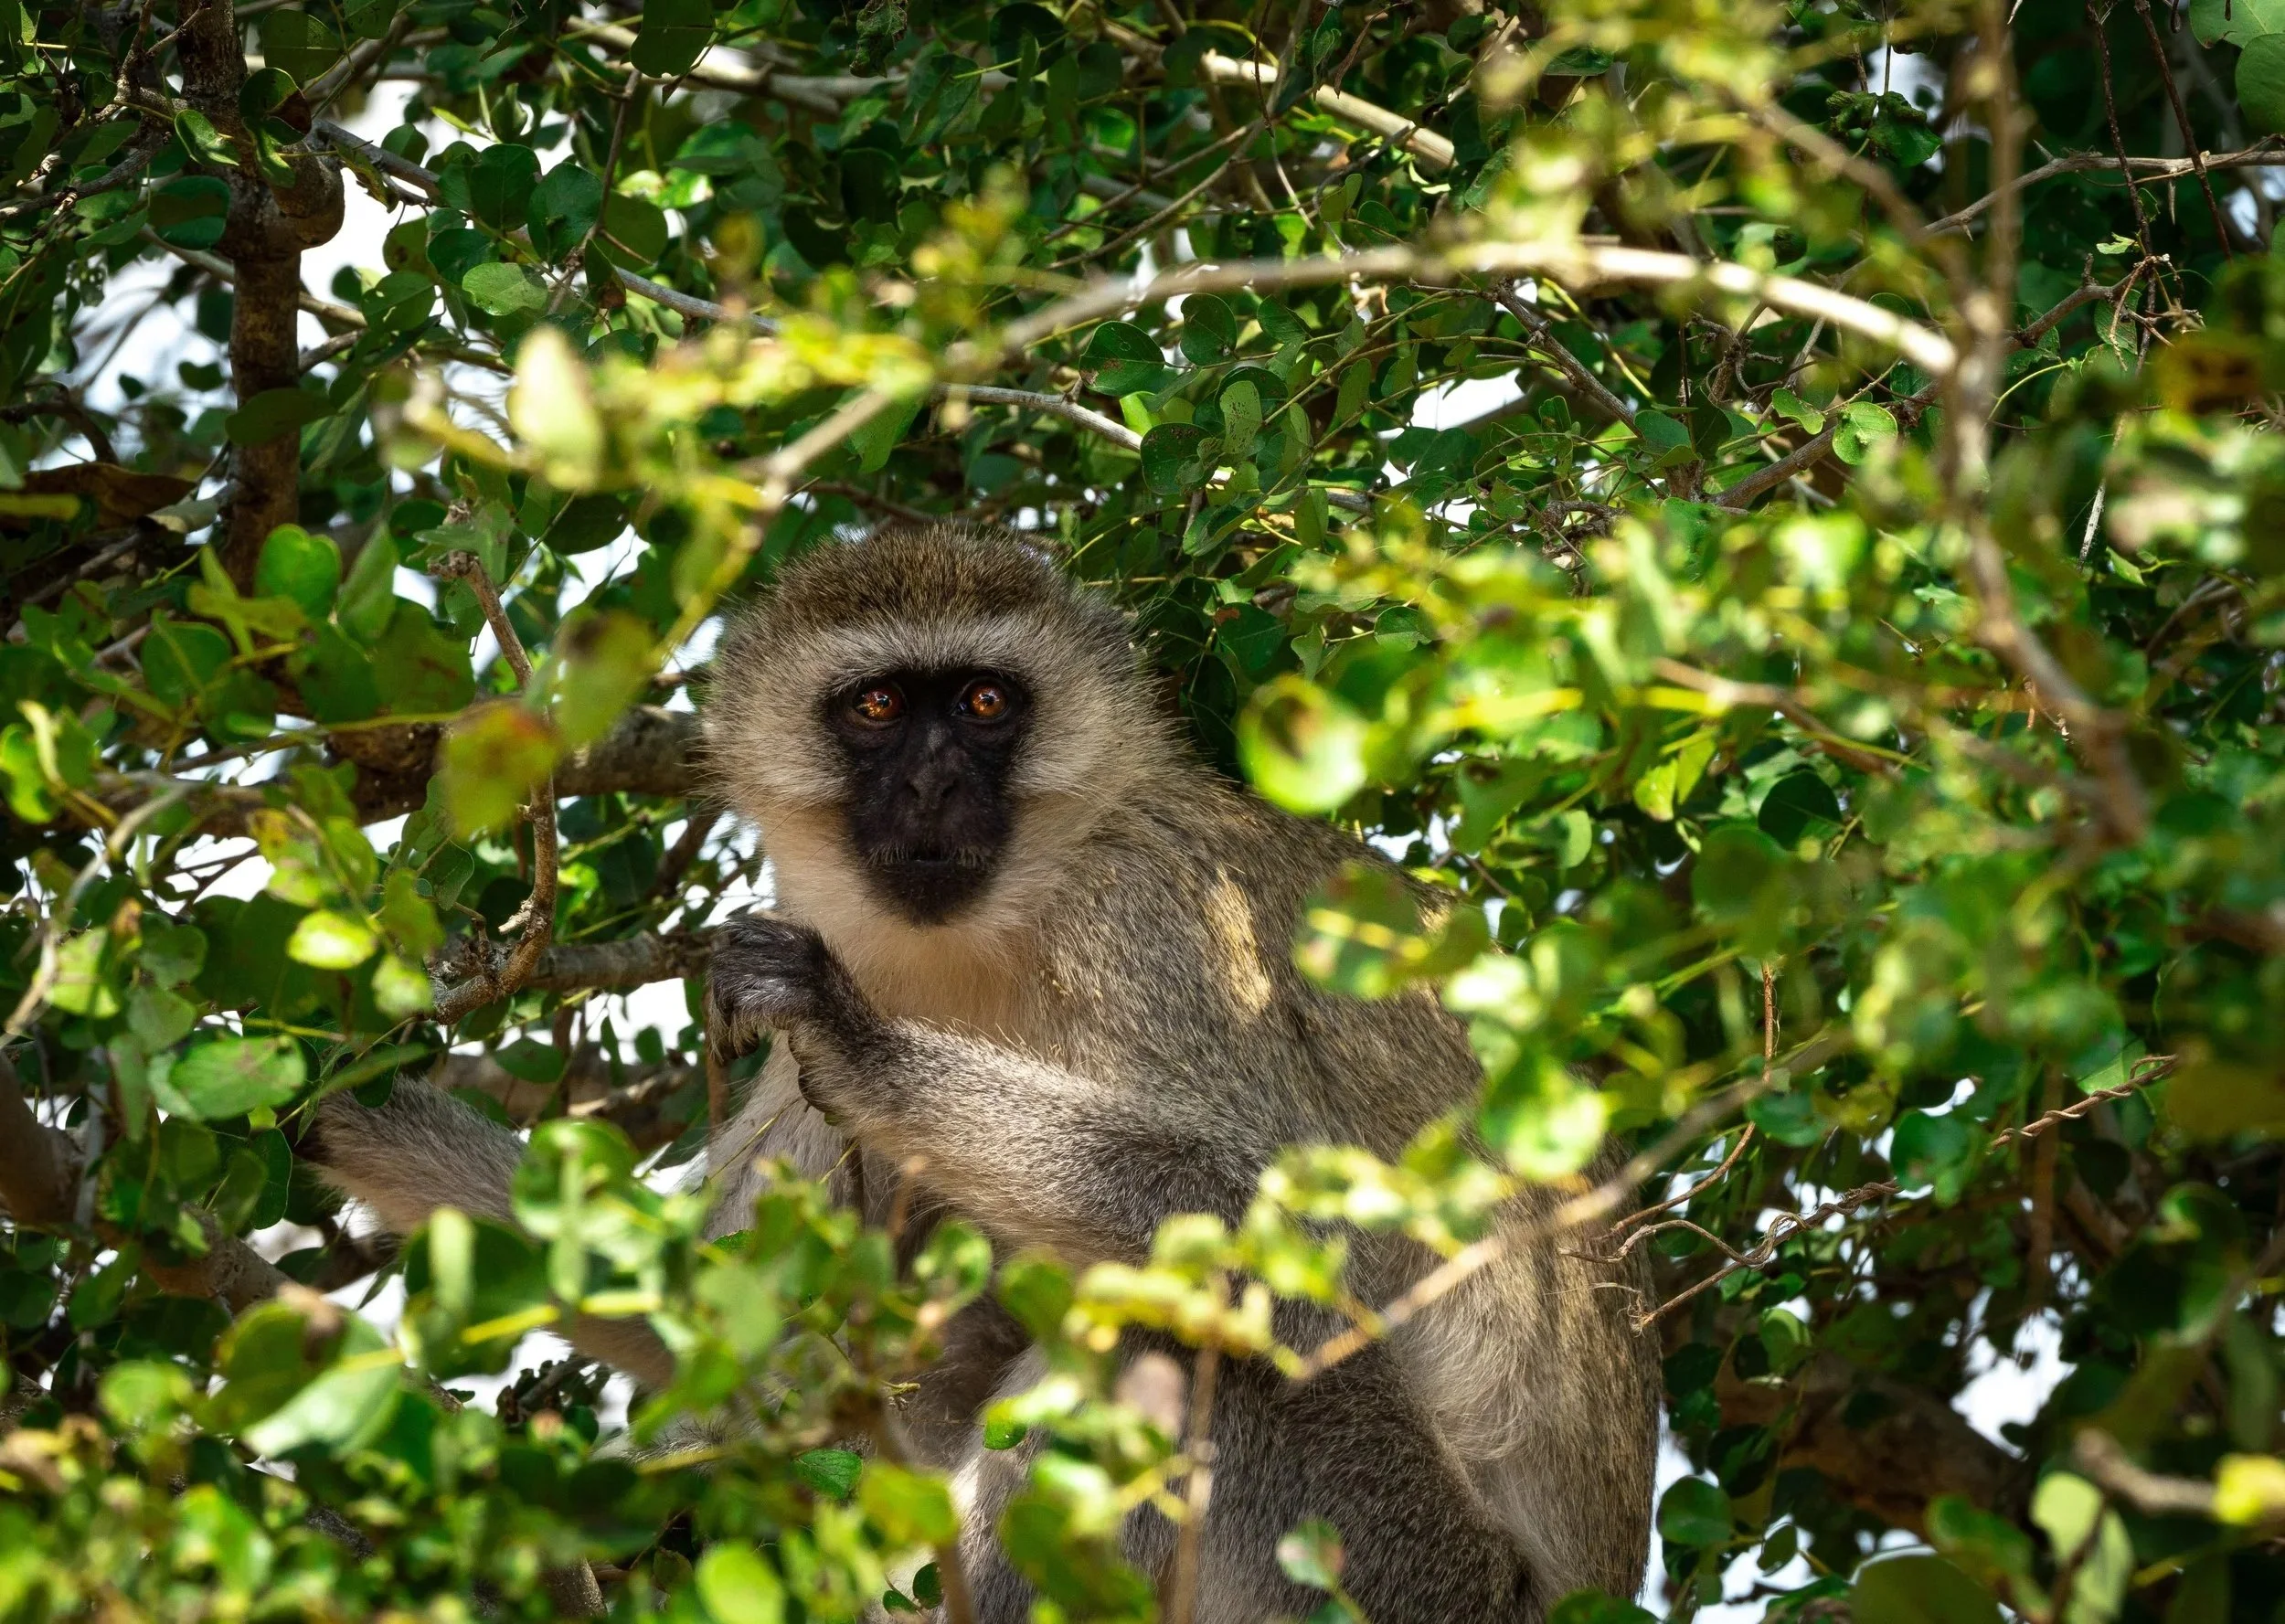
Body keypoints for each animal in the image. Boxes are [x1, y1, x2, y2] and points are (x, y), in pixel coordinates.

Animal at [307, 521, 1659, 1623]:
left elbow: (1278, 1233)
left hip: (1399, 1571)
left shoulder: (1150, 919)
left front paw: (861, 1043)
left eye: (985, 700)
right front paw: (346, 1112)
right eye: (876, 708)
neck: (989, 931)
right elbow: (727, 1300)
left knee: (1179, 1336)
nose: (933, 780)